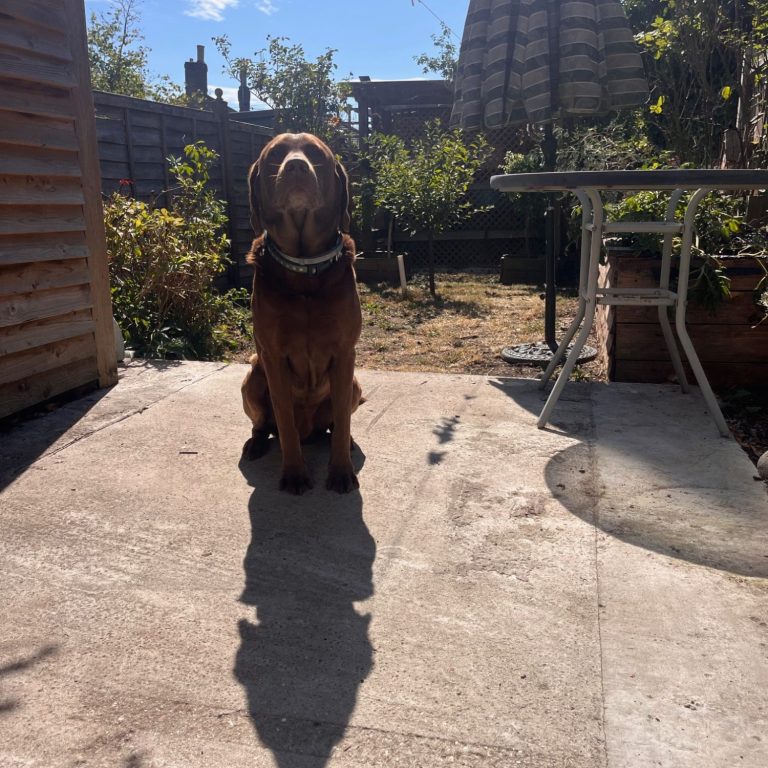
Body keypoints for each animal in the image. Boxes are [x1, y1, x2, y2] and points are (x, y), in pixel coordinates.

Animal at [241, 132, 363, 494]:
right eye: (275, 154)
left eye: (316, 154)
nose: (296, 166)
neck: (305, 268)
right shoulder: (272, 356)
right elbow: (284, 421)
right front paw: (294, 473)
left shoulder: (345, 353)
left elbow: (341, 424)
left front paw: (341, 472)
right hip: (252, 375)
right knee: (265, 424)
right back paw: (256, 443)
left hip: (355, 384)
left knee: (336, 425)